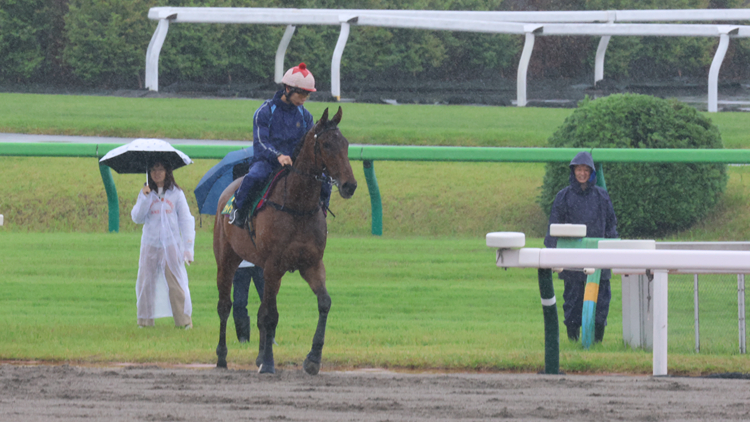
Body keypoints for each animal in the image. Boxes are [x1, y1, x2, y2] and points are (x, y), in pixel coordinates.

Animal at [213, 107, 356, 374]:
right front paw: (269, 362)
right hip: (227, 258)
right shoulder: (273, 266)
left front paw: (313, 358)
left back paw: (258, 356)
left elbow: (324, 302)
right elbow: (270, 315)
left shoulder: (310, 264)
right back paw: (222, 357)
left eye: (346, 144)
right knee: (225, 305)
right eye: (327, 144)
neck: (297, 207)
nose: (349, 185)